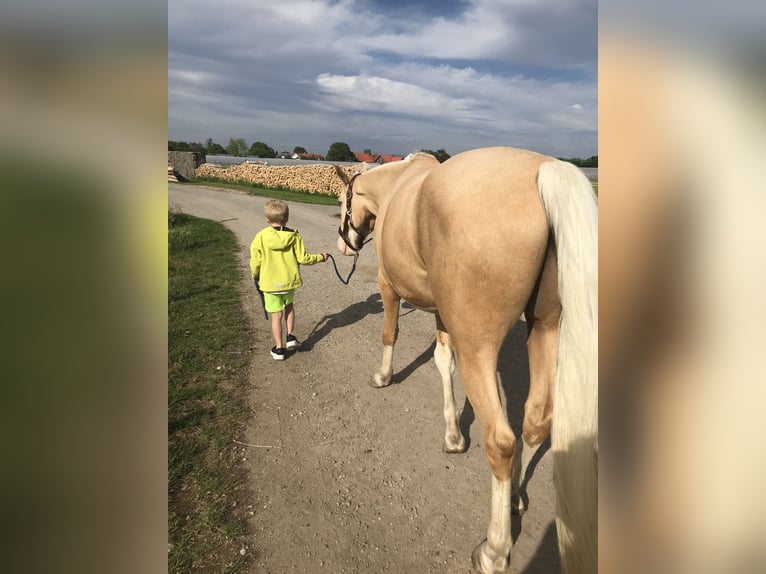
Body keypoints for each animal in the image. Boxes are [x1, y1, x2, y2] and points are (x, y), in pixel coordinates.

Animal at [334, 146, 600, 572]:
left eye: (342, 200)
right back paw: (514, 498)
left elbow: (390, 334)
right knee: (535, 420)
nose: (345, 244)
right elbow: (444, 362)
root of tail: (543, 170)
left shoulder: (388, 287)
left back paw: (494, 549)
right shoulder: (444, 314)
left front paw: (383, 376)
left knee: (502, 439)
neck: (395, 187)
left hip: (479, 346)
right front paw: (453, 435)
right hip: (544, 327)